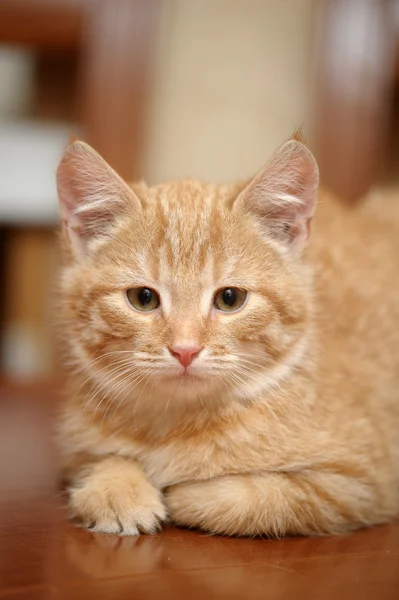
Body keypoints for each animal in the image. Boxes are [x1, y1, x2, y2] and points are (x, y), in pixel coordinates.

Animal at [57, 137, 399, 540]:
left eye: (230, 298)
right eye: (142, 298)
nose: (185, 350)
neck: (179, 424)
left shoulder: (360, 484)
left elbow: (254, 498)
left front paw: (179, 492)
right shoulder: (77, 446)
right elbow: (101, 458)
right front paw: (114, 488)